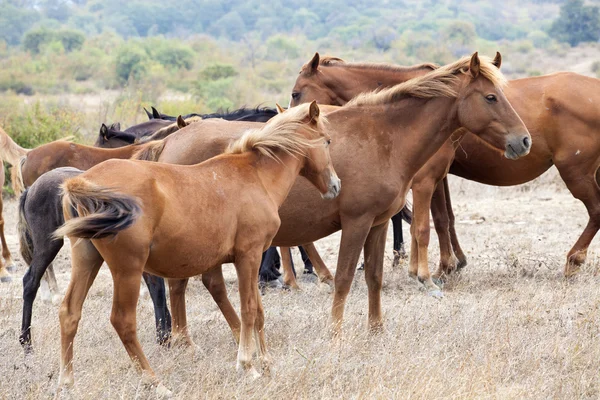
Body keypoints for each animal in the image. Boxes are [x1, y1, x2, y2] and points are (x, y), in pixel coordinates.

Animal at [54, 101, 340, 396]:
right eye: (327, 140)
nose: (335, 185)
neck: (255, 177)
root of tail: (84, 182)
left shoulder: (250, 258)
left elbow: (259, 312)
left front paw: (266, 362)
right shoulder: (248, 256)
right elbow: (249, 309)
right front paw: (248, 366)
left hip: (87, 259)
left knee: (70, 312)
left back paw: (67, 382)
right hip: (127, 269)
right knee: (123, 321)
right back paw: (155, 382)